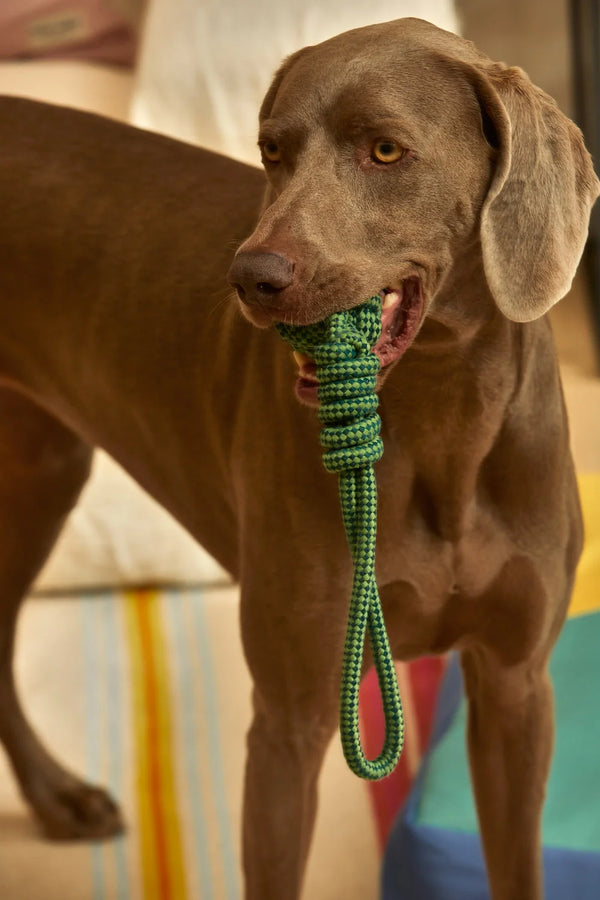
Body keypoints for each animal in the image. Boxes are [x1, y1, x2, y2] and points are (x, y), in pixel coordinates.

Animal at [0, 17, 596, 900]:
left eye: (385, 150)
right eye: (270, 151)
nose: (252, 277)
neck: (442, 418)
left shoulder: (517, 690)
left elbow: (517, 864)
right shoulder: (291, 718)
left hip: (42, 469)